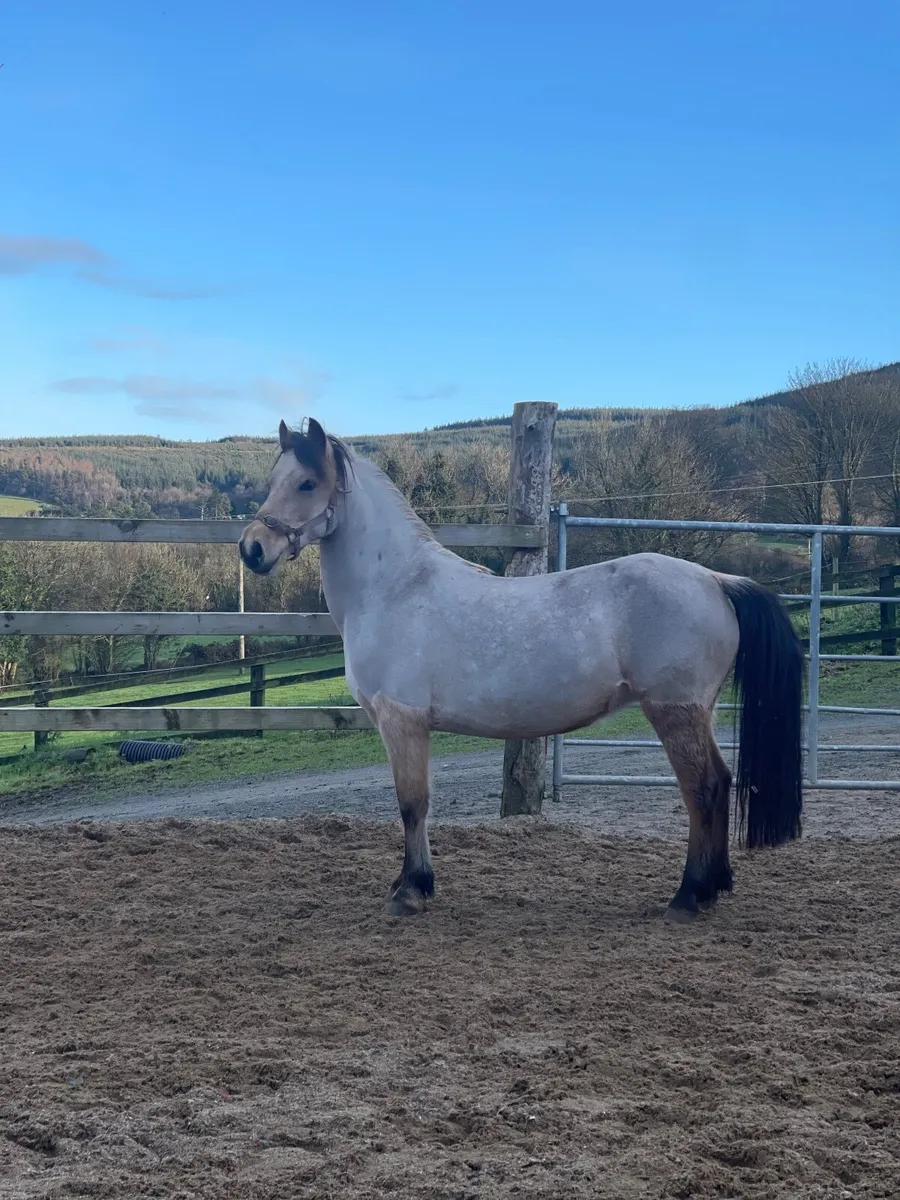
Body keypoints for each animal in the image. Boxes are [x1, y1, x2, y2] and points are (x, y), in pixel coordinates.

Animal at [240, 418, 804, 921]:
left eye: (307, 483)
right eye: (273, 479)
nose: (251, 549)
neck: (395, 588)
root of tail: (716, 580)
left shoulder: (403, 721)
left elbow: (412, 805)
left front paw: (411, 891)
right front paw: (408, 883)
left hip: (674, 711)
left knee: (702, 790)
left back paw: (688, 897)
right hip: (696, 712)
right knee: (723, 783)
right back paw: (713, 888)